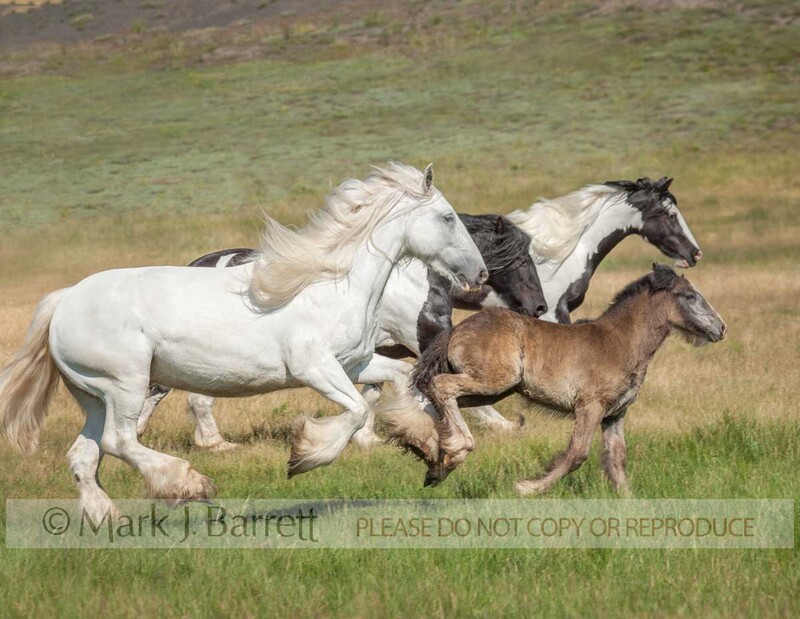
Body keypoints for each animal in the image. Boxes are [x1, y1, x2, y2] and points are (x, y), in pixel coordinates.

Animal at [0, 162, 487, 520]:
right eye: (447, 217)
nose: (480, 274)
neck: (334, 285)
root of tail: (64, 301)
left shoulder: (355, 363)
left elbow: (400, 379)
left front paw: (432, 451)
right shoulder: (315, 368)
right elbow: (354, 411)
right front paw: (305, 455)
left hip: (93, 395)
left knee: (84, 456)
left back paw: (108, 521)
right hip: (125, 385)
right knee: (118, 442)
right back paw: (189, 484)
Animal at [135, 213, 547, 450]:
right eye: (520, 257)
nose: (538, 307)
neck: (414, 278)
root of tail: (198, 263)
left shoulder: (376, 353)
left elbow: (374, 392)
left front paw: (368, 437)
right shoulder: (425, 339)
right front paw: (504, 426)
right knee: (175, 395)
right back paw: (203, 443)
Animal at [406, 264, 726, 491]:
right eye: (690, 296)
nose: (721, 328)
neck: (620, 342)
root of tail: (455, 330)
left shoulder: (615, 414)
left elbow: (617, 461)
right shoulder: (590, 407)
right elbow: (577, 455)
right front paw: (526, 487)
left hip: (490, 391)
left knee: (436, 401)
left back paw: (437, 463)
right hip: (492, 382)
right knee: (440, 387)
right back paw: (456, 450)